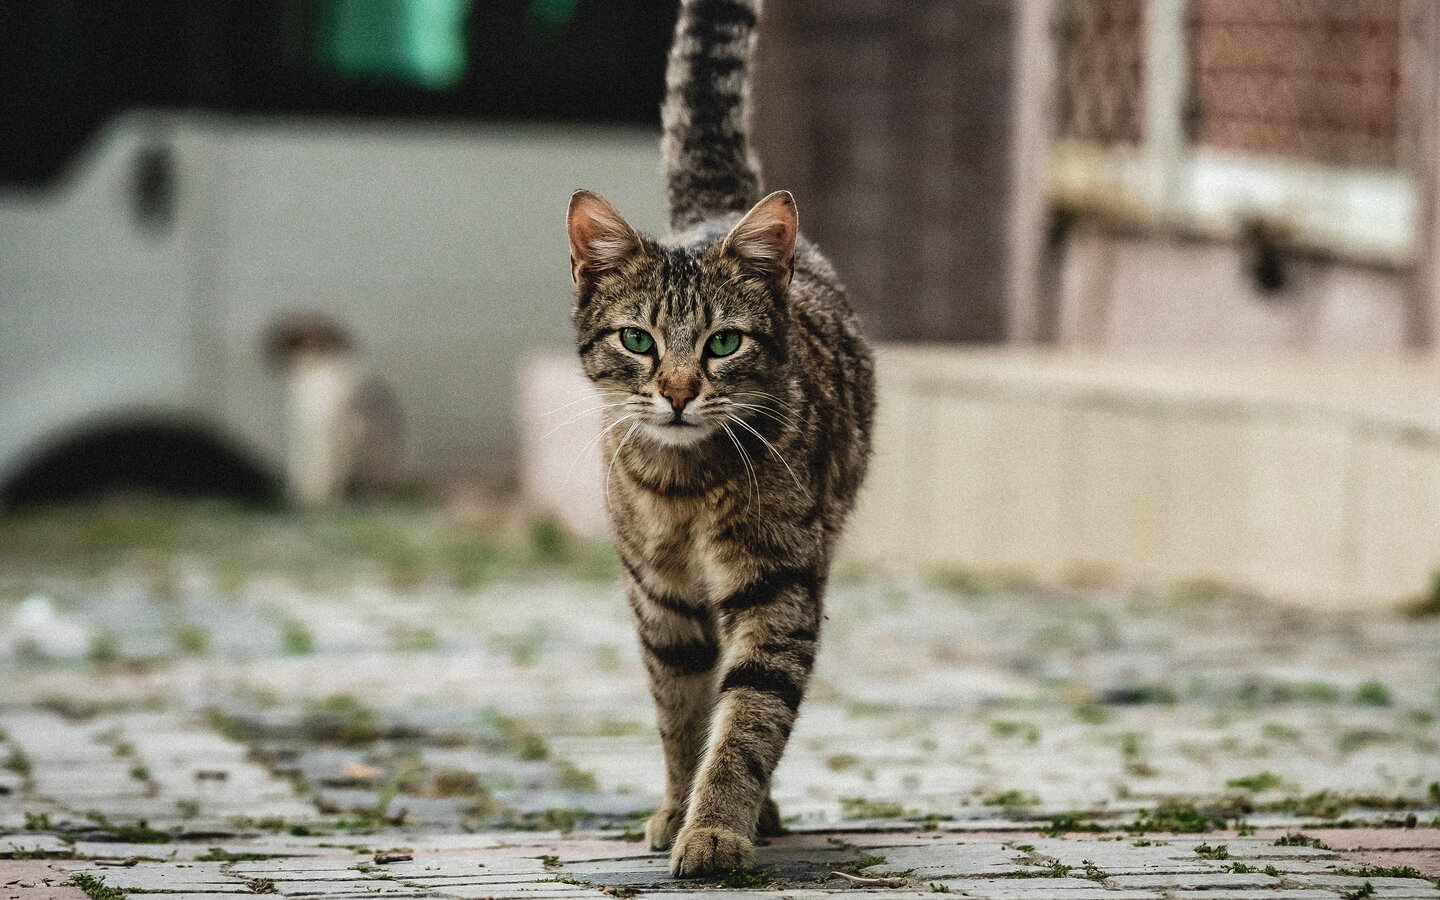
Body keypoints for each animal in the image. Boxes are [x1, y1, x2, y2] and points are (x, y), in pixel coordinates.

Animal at [564, 0, 875, 875]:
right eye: (638, 340)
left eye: (724, 343)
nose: (676, 392)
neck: (686, 486)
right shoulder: (661, 600)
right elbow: (681, 715)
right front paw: (680, 807)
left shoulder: (778, 587)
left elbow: (749, 720)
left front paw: (716, 827)